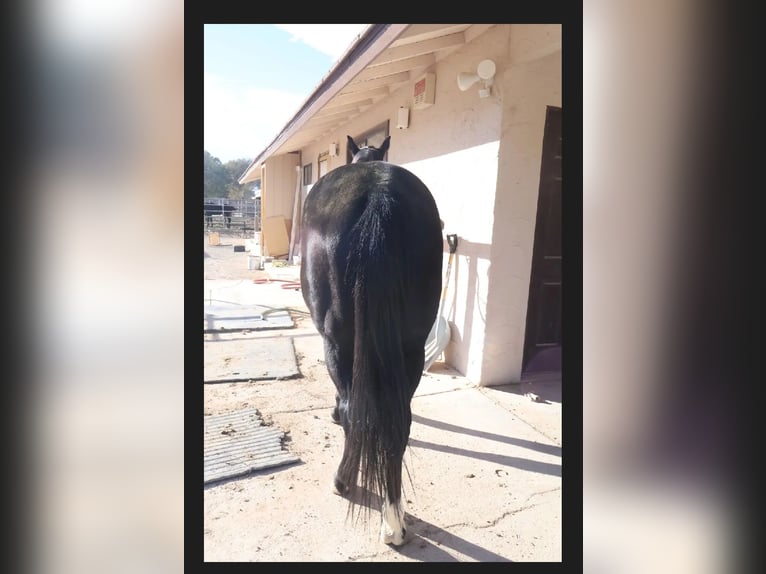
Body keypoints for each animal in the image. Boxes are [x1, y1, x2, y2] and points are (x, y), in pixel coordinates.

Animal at [302, 137, 444, 548]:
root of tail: (379, 194)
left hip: (337, 341)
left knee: (355, 411)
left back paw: (343, 481)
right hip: (412, 348)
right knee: (400, 421)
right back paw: (393, 521)